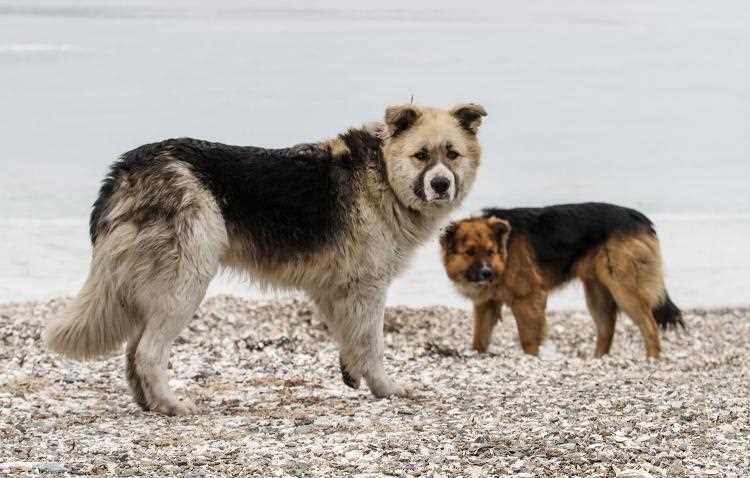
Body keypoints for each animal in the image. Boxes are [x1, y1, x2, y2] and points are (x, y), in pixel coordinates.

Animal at [48, 103, 494, 414]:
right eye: (422, 156)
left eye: (452, 155)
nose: (441, 185)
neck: (382, 174)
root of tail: (125, 170)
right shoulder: (367, 287)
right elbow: (372, 343)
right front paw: (386, 389)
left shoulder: (334, 288)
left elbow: (350, 338)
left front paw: (352, 373)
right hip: (186, 282)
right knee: (147, 352)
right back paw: (170, 405)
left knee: (132, 351)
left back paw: (148, 404)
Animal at [444, 203, 684, 358]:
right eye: (470, 252)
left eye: (490, 251)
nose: (486, 273)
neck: (505, 250)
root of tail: (641, 218)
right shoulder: (485, 305)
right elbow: (479, 339)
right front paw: (477, 355)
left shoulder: (527, 299)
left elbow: (528, 339)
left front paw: (531, 360)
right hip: (597, 294)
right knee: (606, 331)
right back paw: (598, 360)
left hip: (624, 290)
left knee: (649, 326)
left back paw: (652, 360)